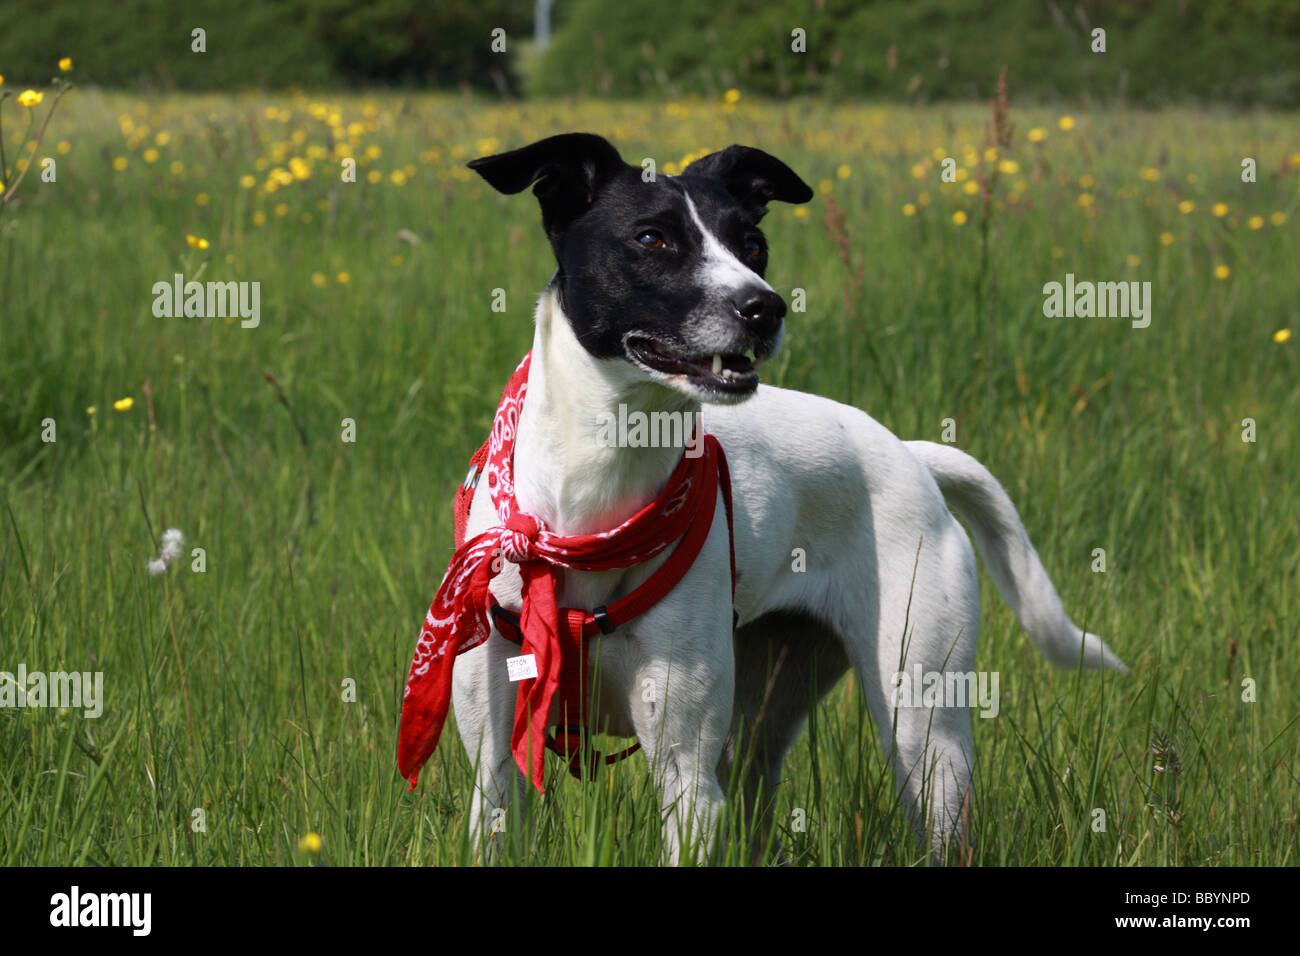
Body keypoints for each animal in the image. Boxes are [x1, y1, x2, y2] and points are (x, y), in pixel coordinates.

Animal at [447, 132, 1128, 858]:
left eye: (752, 244)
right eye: (653, 238)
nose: (765, 307)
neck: (592, 504)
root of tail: (912, 456)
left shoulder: (688, 778)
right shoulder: (495, 770)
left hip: (924, 734)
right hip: (761, 727)